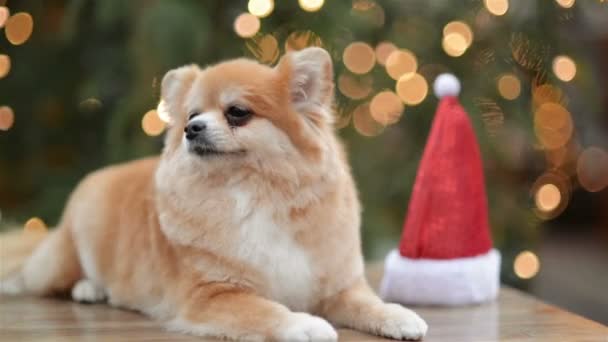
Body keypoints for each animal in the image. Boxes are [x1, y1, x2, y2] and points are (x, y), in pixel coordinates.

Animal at [1, 48, 428, 342]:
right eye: (192, 116)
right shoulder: (212, 294)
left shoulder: (338, 286)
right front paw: (304, 323)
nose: (191, 129)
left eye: (237, 112)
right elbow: (265, 310)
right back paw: (90, 287)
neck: (255, 192)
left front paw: (399, 315)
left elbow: (370, 303)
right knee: (53, 278)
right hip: (66, 254)